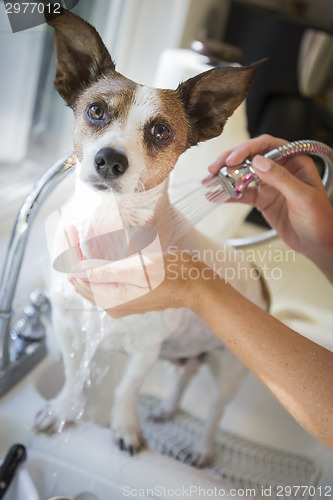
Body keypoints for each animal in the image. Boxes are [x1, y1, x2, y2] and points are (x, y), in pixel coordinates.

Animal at [35, 6, 268, 468]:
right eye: (96, 110)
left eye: (161, 131)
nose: (110, 160)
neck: (108, 231)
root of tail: (253, 270)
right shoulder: (68, 324)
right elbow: (72, 373)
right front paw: (64, 410)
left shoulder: (144, 350)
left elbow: (126, 391)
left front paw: (125, 430)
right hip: (186, 355)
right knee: (183, 378)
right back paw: (166, 408)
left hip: (229, 369)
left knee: (215, 412)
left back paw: (203, 449)